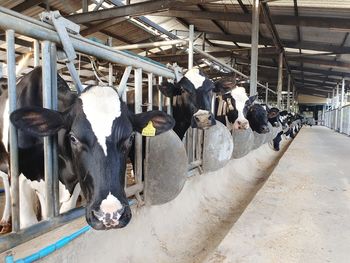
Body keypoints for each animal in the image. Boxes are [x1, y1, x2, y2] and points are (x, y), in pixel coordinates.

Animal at [0, 67, 175, 232]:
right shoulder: (18, 181)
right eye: (73, 138)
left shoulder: (76, 183)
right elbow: (29, 221)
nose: (110, 214)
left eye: (130, 137)